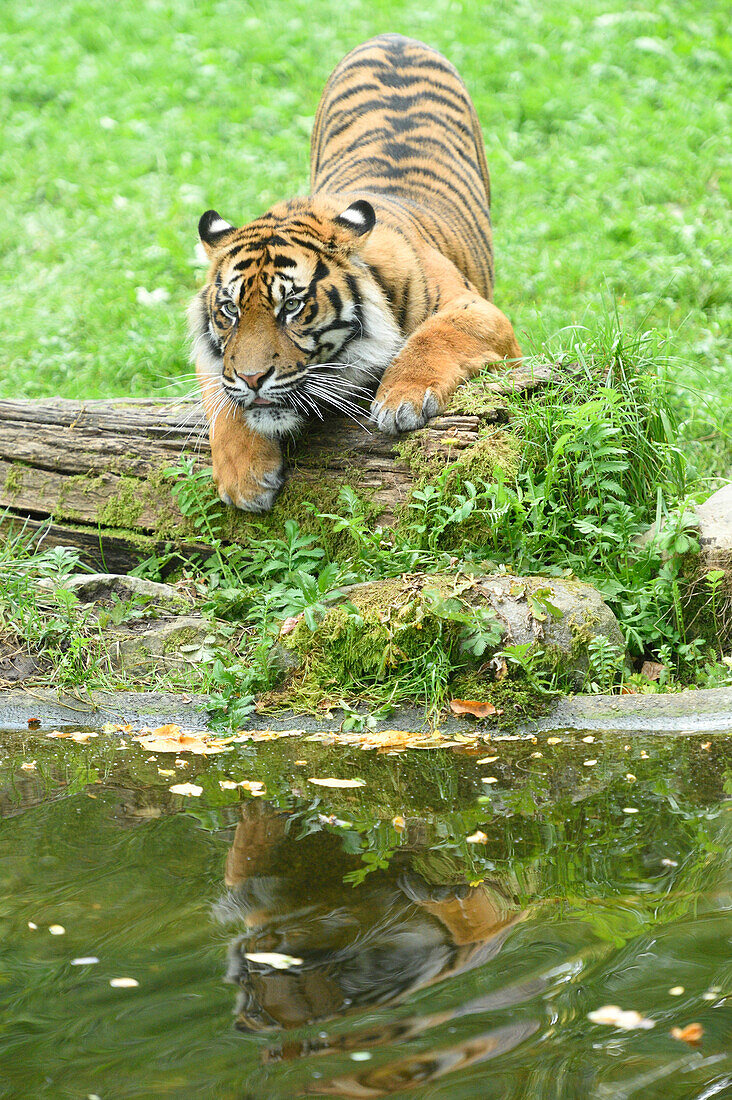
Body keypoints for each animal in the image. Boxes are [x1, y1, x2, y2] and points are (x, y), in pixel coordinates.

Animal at [188, 33, 519, 510]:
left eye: (292, 306)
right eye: (230, 311)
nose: (253, 380)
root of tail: (392, 37)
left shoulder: (479, 311)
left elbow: (437, 333)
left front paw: (402, 399)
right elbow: (220, 391)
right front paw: (243, 477)